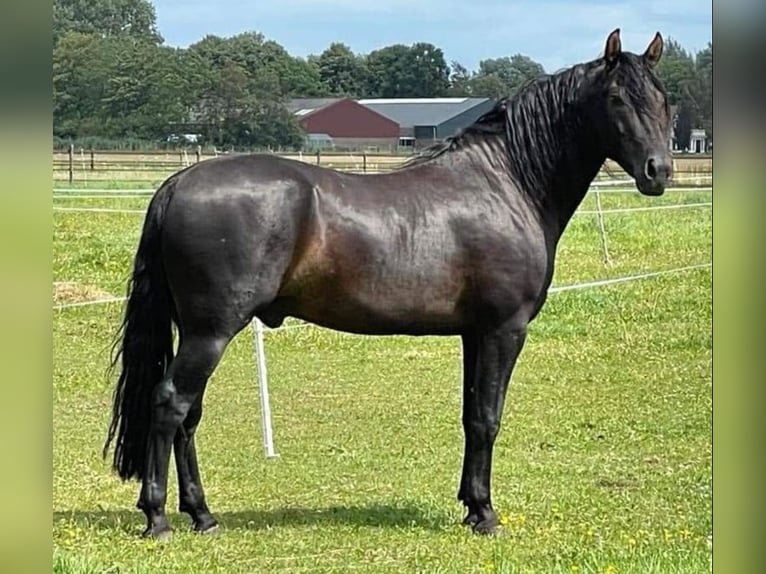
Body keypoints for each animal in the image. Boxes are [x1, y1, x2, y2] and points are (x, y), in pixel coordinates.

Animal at [103, 29, 672, 539]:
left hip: (198, 331)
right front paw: (486, 514)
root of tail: (178, 182)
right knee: (170, 404)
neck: (507, 184)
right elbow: (488, 417)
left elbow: (471, 416)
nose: (659, 171)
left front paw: (470, 506)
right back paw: (158, 519)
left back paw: (202, 516)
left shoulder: (474, 334)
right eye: (617, 97)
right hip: (211, 331)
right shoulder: (503, 330)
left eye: (664, 100)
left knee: (189, 415)